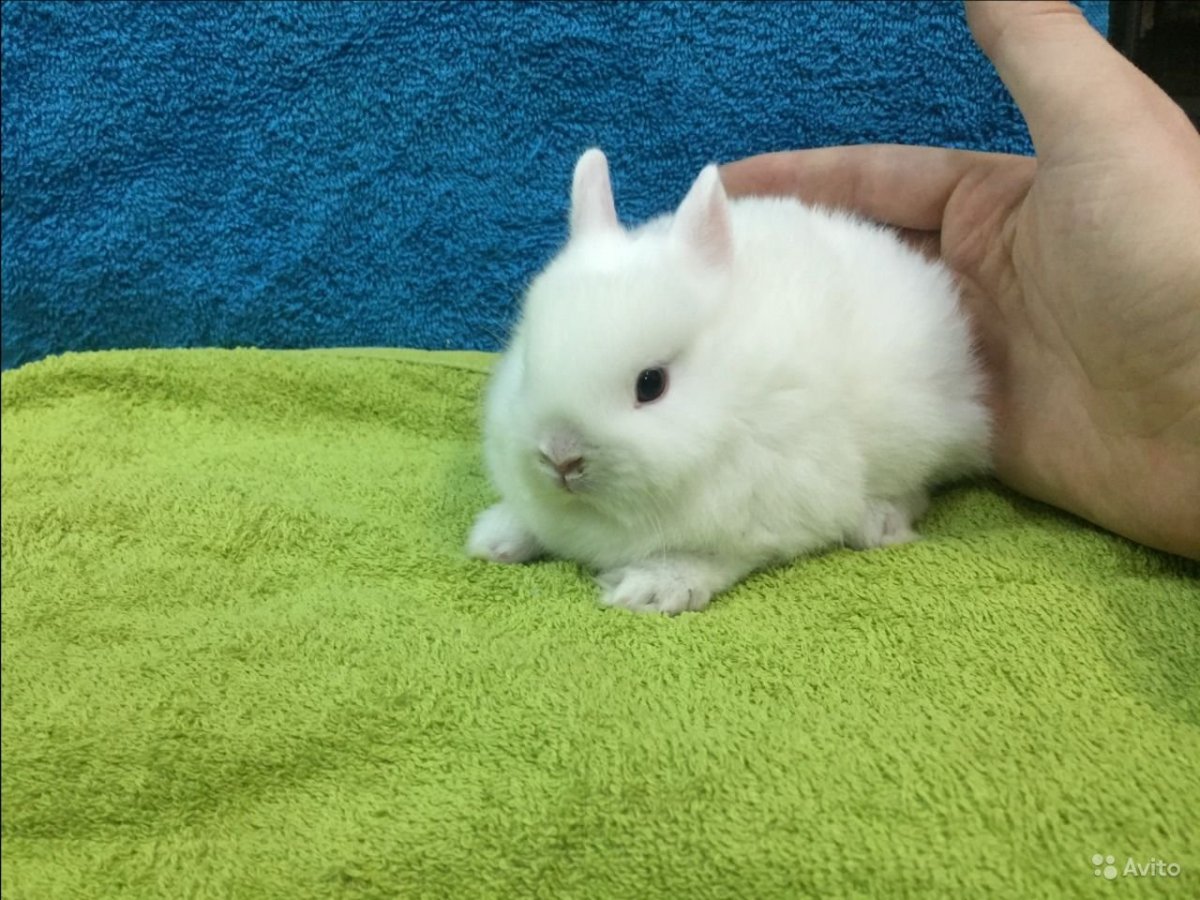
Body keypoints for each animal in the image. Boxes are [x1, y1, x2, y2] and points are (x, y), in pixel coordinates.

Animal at [466, 147, 991, 614]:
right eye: (528, 363)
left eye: (651, 384)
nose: (560, 457)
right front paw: (494, 537)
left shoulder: (772, 508)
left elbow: (716, 555)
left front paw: (653, 589)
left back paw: (878, 522)